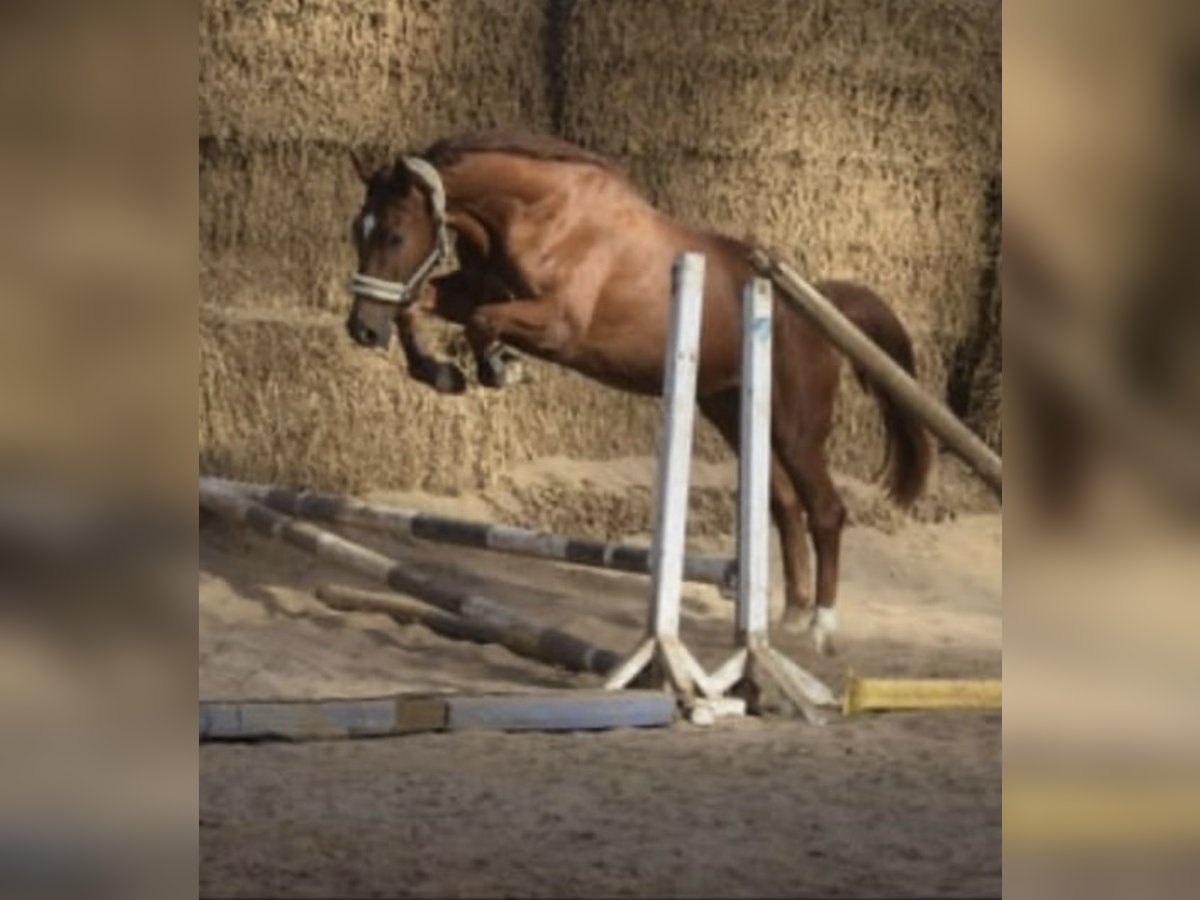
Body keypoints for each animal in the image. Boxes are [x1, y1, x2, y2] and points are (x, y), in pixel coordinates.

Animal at [344, 129, 931, 655]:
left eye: (394, 236)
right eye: (358, 230)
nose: (361, 331)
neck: (536, 215)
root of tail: (821, 306)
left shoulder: (558, 326)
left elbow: (481, 322)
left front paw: (498, 368)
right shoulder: (473, 289)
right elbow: (417, 306)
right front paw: (440, 373)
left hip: (795, 427)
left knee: (826, 509)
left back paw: (820, 629)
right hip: (731, 410)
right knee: (785, 504)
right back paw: (785, 618)